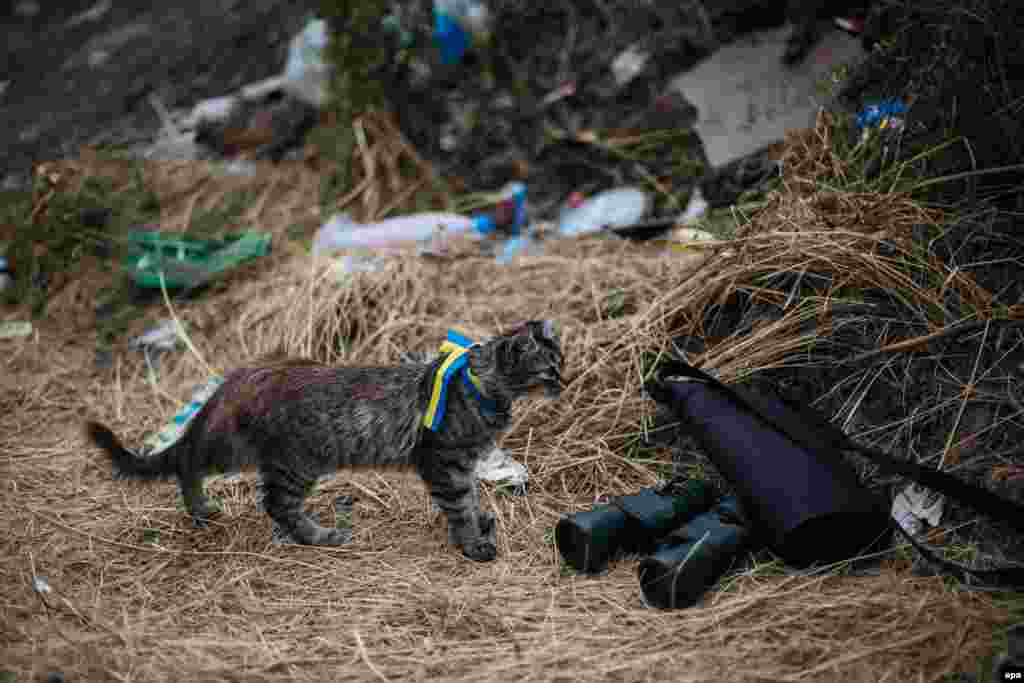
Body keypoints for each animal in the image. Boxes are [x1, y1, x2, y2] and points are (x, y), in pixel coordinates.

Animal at [88, 321, 565, 561]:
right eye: (549, 370)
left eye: (561, 363)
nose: (565, 383)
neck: (480, 386)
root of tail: (241, 376)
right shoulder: (443, 464)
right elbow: (461, 506)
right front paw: (473, 544)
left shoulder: (463, 465)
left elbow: (472, 499)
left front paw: (481, 522)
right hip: (277, 458)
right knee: (204, 468)